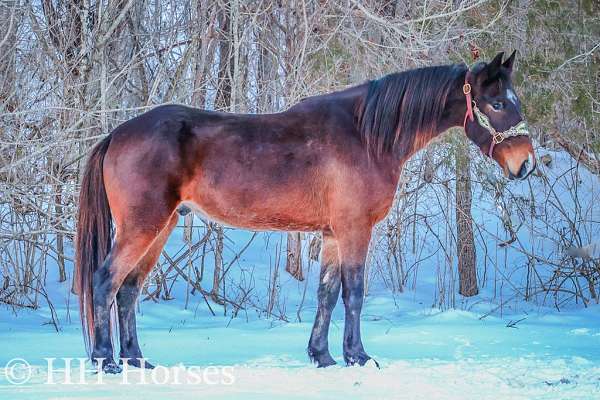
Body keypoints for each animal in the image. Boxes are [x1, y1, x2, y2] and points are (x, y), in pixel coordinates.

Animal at [74, 51, 536, 374]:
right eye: (497, 104)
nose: (526, 164)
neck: (367, 136)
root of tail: (117, 134)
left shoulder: (332, 232)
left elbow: (327, 293)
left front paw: (322, 356)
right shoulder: (354, 229)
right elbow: (354, 293)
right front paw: (358, 356)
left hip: (163, 226)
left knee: (129, 289)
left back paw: (137, 360)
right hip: (143, 226)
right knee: (105, 281)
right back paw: (106, 361)